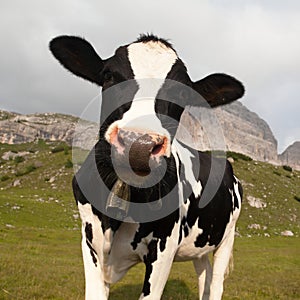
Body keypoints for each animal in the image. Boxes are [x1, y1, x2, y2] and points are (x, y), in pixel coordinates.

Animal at [49, 34, 244, 298]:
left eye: (182, 95)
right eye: (108, 75)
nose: (138, 146)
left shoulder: (164, 247)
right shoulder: (89, 241)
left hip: (227, 236)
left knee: (216, 284)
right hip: (200, 243)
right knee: (204, 273)